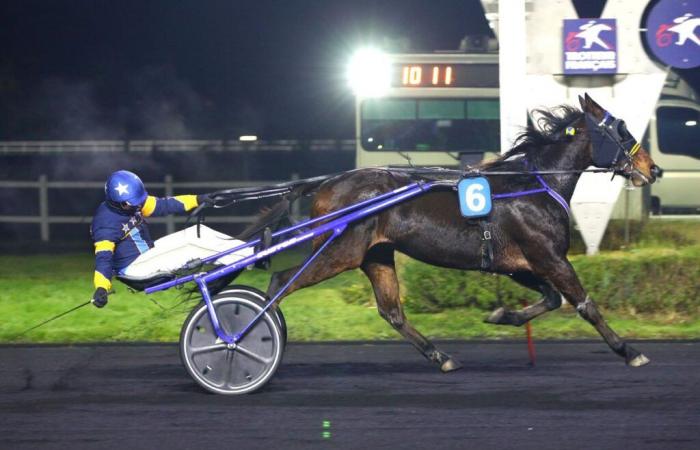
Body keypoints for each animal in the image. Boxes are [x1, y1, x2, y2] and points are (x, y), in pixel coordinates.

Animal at [266, 93, 660, 370]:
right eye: (622, 129)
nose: (653, 169)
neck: (536, 185)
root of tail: (326, 185)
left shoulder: (519, 264)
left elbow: (551, 299)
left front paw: (502, 315)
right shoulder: (550, 257)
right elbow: (584, 305)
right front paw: (629, 350)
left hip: (376, 255)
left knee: (392, 311)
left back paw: (442, 357)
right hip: (339, 252)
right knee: (282, 280)